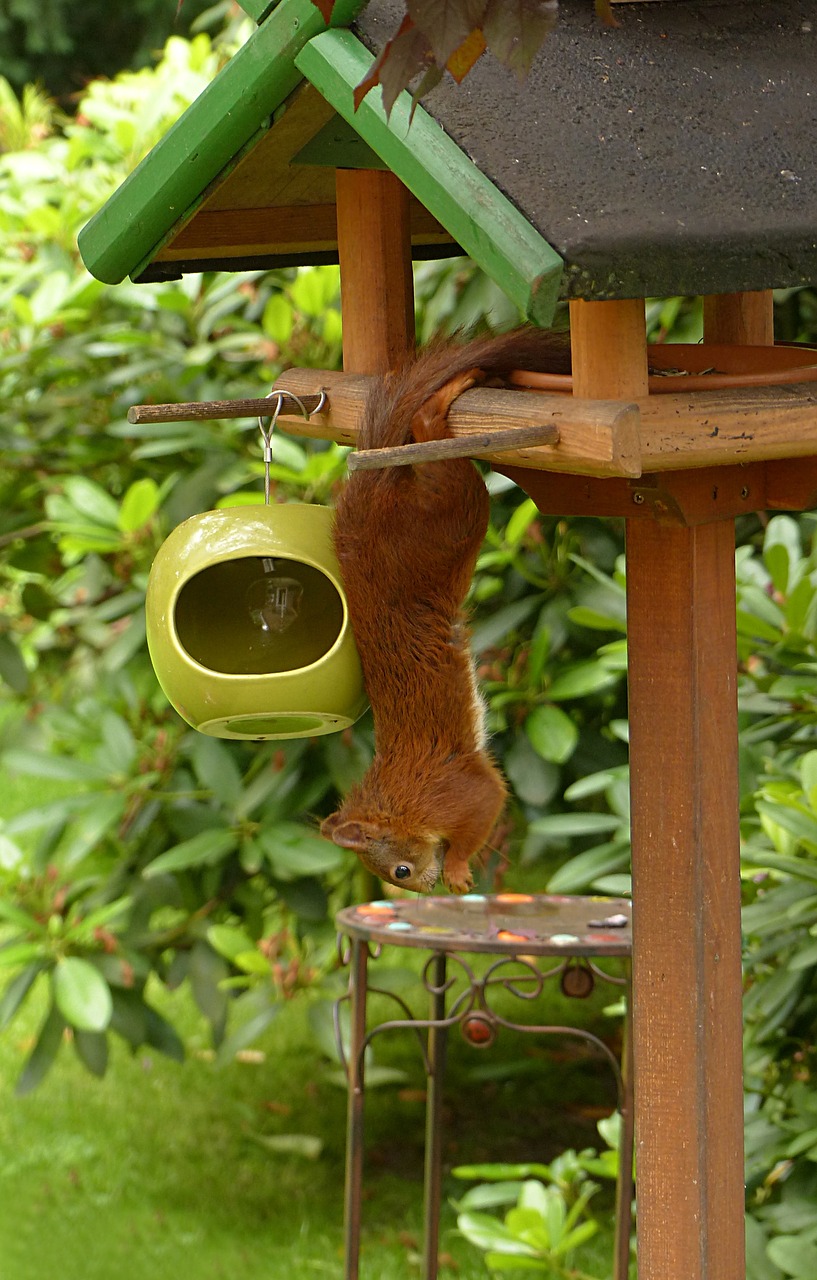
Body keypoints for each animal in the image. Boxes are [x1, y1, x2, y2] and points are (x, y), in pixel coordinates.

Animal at [320, 325, 568, 896]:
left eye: (400, 870)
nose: (425, 887)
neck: (400, 801)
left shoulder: (453, 792)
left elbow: (488, 801)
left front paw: (456, 868)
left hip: (450, 516)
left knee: (434, 441)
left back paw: (450, 393)